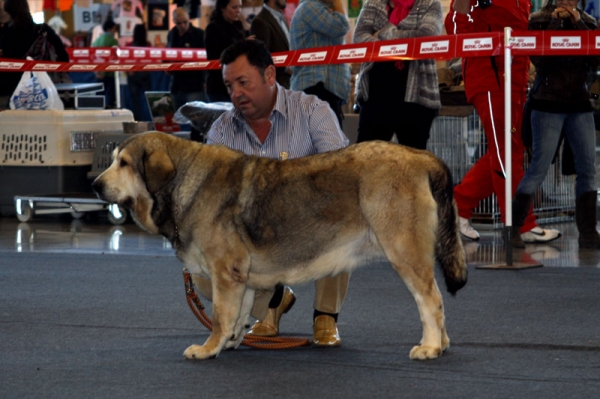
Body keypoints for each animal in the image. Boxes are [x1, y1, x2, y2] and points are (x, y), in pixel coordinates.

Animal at [94, 132, 468, 362]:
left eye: (124, 163)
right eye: (113, 160)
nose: (95, 184)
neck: (184, 181)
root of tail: (422, 157)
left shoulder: (224, 272)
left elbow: (218, 317)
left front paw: (209, 348)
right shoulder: (239, 277)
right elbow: (239, 313)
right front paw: (232, 341)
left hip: (405, 253)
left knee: (431, 301)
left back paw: (430, 346)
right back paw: (443, 343)